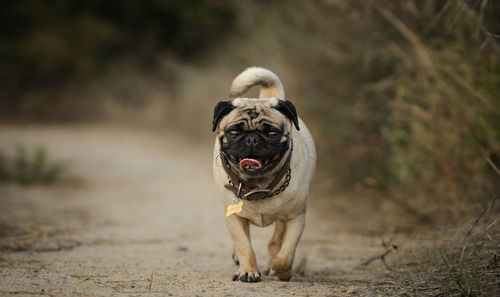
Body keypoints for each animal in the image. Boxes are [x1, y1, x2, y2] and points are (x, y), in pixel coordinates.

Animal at [212, 67, 316, 282]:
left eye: (272, 133)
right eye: (233, 132)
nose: (252, 139)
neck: (257, 186)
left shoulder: (296, 219)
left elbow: (286, 253)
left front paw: (280, 269)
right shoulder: (234, 218)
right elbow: (245, 246)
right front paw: (248, 271)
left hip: (283, 219)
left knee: (276, 240)